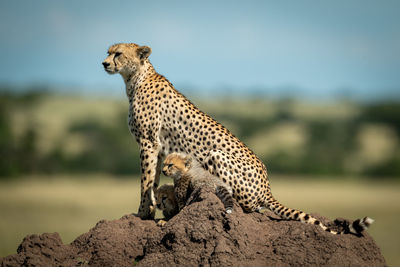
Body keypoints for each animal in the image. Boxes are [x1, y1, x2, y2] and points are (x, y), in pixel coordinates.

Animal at [102, 43, 372, 236]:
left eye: (118, 54)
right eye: (108, 52)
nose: (103, 63)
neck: (135, 78)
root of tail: (267, 186)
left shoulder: (148, 142)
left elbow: (146, 181)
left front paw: (142, 214)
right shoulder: (156, 149)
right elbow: (153, 181)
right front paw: (149, 211)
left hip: (216, 154)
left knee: (248, 206)